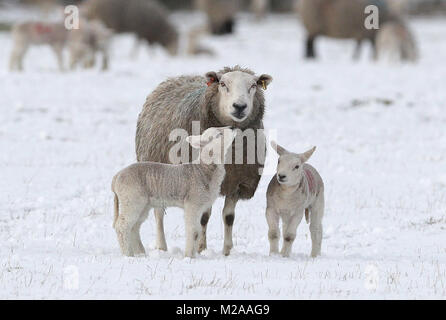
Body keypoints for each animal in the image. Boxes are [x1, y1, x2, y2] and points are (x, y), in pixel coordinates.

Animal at [112, 125, 237, 258]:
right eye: (219, 134)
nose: (232, 127)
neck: (204, 169)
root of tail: (116, 178)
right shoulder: (193, 204)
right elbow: (193, 230)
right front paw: (189, 256)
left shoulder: (200, 206)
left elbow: (197, 231)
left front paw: (193, 255)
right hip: (131, 199)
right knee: (122, 226)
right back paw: (128, 254)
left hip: (143, 204)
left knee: (134, 227)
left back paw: (140, 253)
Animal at [136, 65, 274, 255]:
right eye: (223, 84)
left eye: (253, 85)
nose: (239, 106)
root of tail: (178, 77)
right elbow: (204, 217)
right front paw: (201, 248)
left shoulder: (237, 183)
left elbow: (229, 217)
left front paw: (227, 251)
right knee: (158, 212)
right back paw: (162, 247)